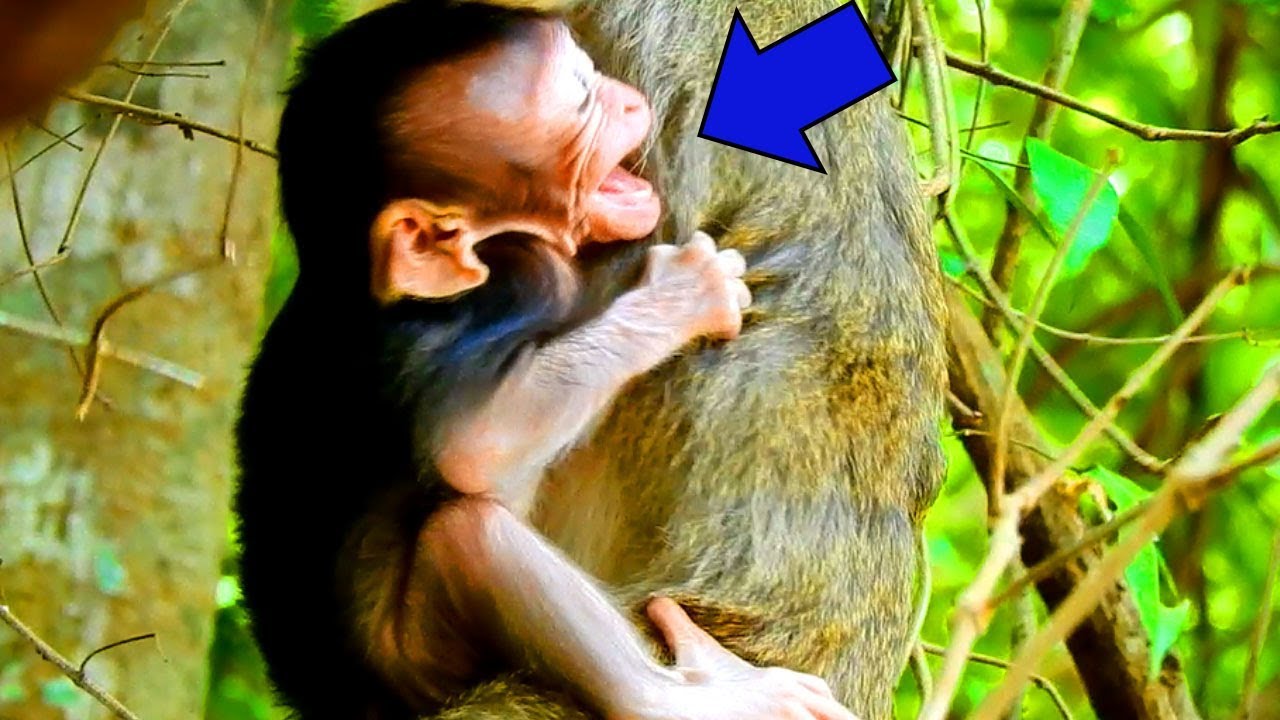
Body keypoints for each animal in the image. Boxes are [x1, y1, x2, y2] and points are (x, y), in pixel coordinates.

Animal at [235, 3, 859, 719]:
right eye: (581, 96)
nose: (629, 100)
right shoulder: (520, 277)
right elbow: (473, 442)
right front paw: (684, 294)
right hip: (416, 658)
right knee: (472, 539)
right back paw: (677, 697)